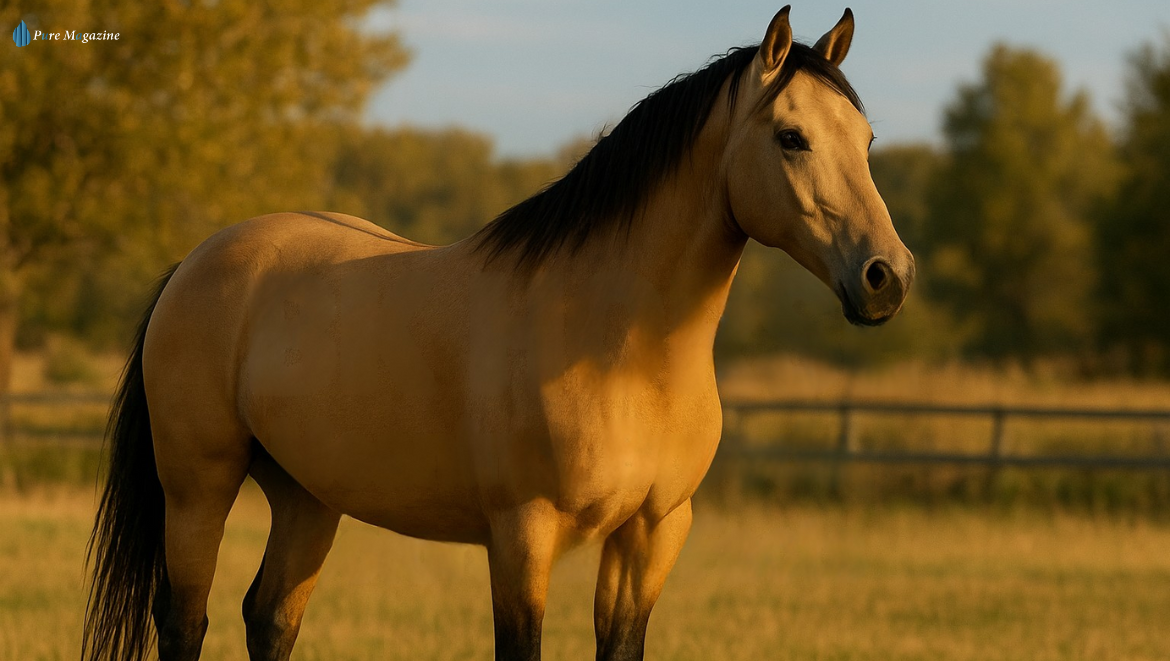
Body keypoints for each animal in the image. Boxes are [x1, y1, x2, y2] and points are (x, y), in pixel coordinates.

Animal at [82, 7, 913, 661]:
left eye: (868, 140)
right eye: (791, 137)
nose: (888, 277)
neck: (621, 346)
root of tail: (196, 260)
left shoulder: (651, 534)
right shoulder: (522, 535)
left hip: (307, 497)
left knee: (270, 616)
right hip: (198, 487)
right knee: (185, 622)